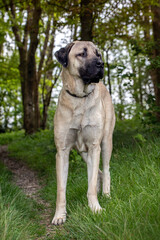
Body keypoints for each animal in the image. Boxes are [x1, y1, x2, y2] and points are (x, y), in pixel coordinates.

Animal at [52, 40, 115, 225]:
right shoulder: (62, 151)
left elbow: (91, 184)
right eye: (82, 54)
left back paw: (106, 195)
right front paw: (59, 215)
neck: (80, 98)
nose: (101, 64)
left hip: (106, 142)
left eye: (98, 54)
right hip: (83, 152)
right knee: (99, 172)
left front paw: (95, 208)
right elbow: (61, 190)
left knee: (105, 170)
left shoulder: (94, 146)